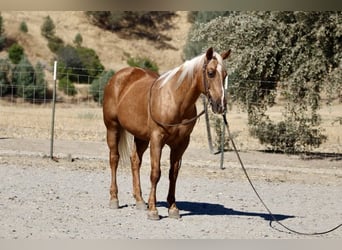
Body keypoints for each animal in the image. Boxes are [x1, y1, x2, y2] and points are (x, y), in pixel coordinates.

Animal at [101, 47, 230, 220]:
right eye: (210, 73)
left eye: (225, 74)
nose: (220, 105)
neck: (175, 100)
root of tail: (118, 77)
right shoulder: (157, 139)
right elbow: (156, 173)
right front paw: (153, 210)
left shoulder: (181, 144)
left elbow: (173, 174)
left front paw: (173, 208)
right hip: (112, 128)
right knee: (114, 159)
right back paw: (114, 199)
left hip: (141, 137)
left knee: (135, 161)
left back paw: (140, 201)